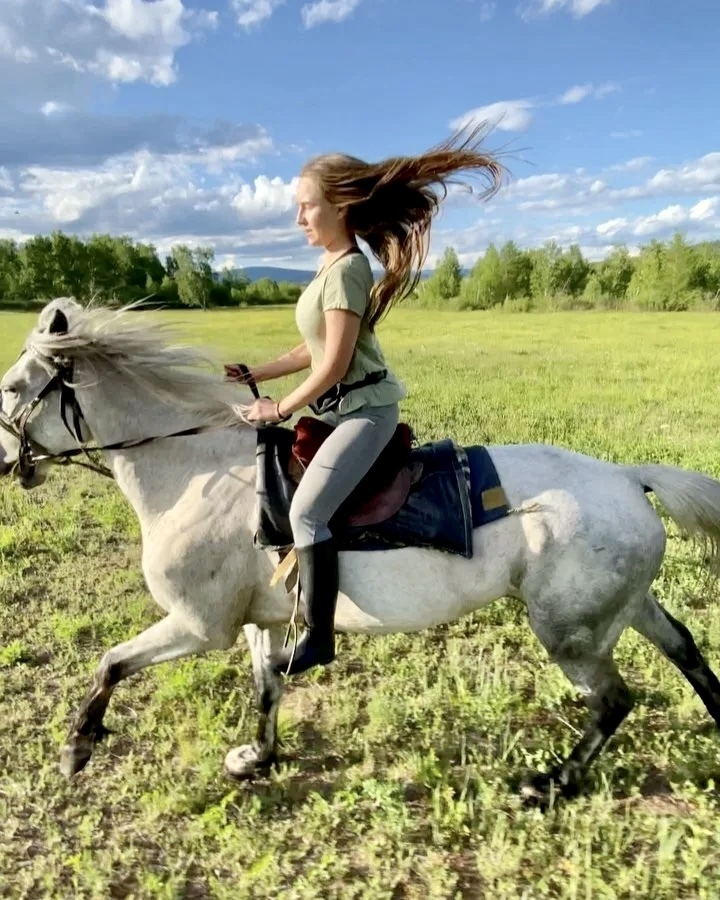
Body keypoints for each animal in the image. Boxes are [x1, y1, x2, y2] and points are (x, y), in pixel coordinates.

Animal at [1, 297, 720, 805]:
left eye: (12, 387)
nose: (6, 460)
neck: (198, 470)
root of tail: (626, 477)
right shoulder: (261, 618)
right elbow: (266, 686)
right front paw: (257, 759)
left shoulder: (199, 626)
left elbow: (111, 663)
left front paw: (78, 747)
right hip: (620, 607)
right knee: (685, 650)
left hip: (571, 630)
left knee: (614, 700)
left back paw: (551, 784)